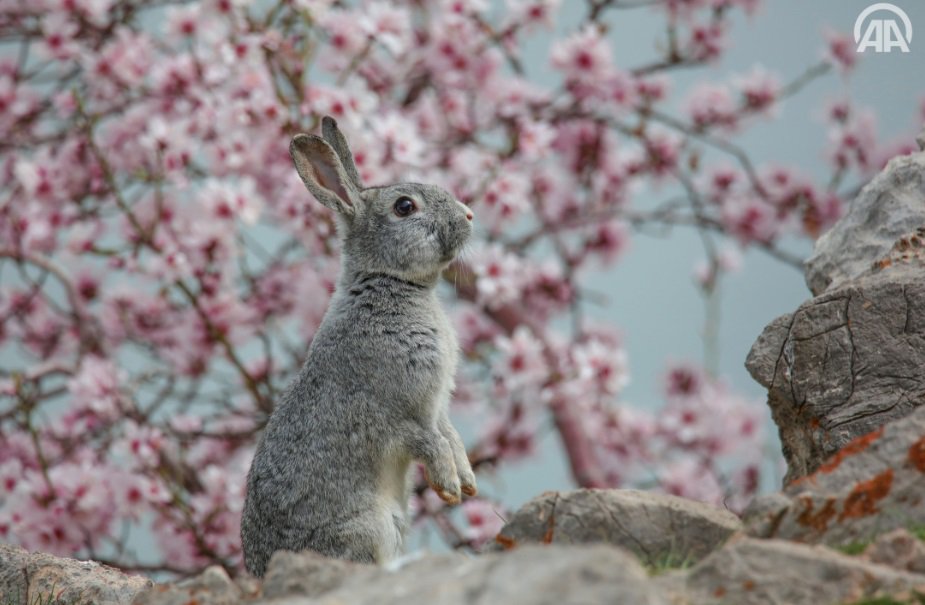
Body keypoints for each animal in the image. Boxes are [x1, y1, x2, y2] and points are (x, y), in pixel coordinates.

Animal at [240, 115, 476, 572]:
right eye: (405, 207)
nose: (470, 215)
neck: (389, 281)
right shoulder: (398, 412)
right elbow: (429, 442)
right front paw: (450, 487)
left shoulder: (437, 407)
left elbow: (450, 435)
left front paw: (468, 482)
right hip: (369, 528)